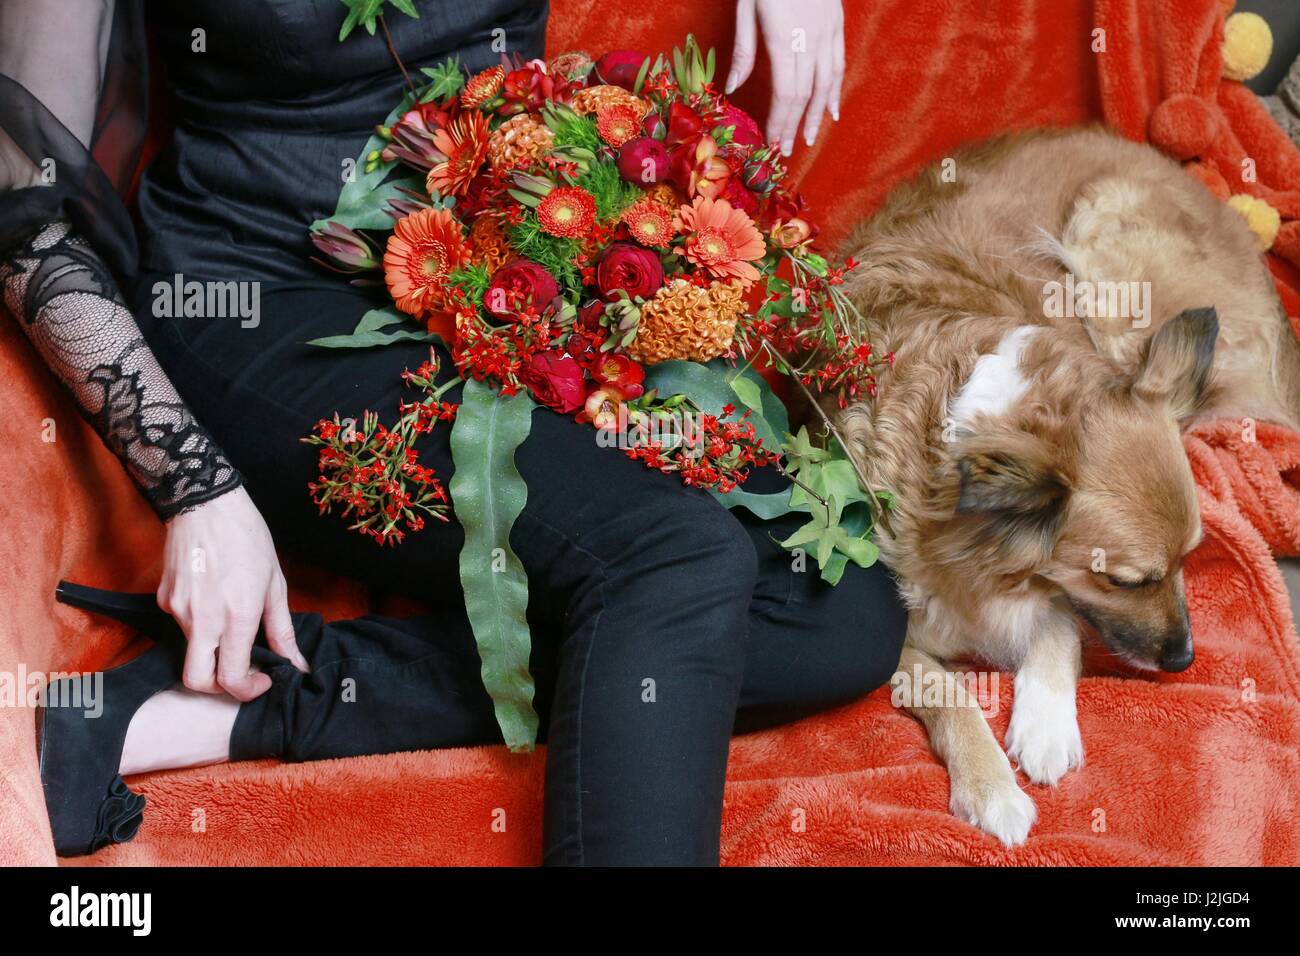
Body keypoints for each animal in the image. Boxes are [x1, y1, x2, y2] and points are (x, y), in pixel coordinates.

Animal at [832, 125, 1300, 842]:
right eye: (1126, 581)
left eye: (1190, 560)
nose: (1185, 662)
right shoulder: (898, 640)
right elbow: (947, 690)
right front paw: (991, 787)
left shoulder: (1053, 596)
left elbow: (1057, 629)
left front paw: (1047, 727)